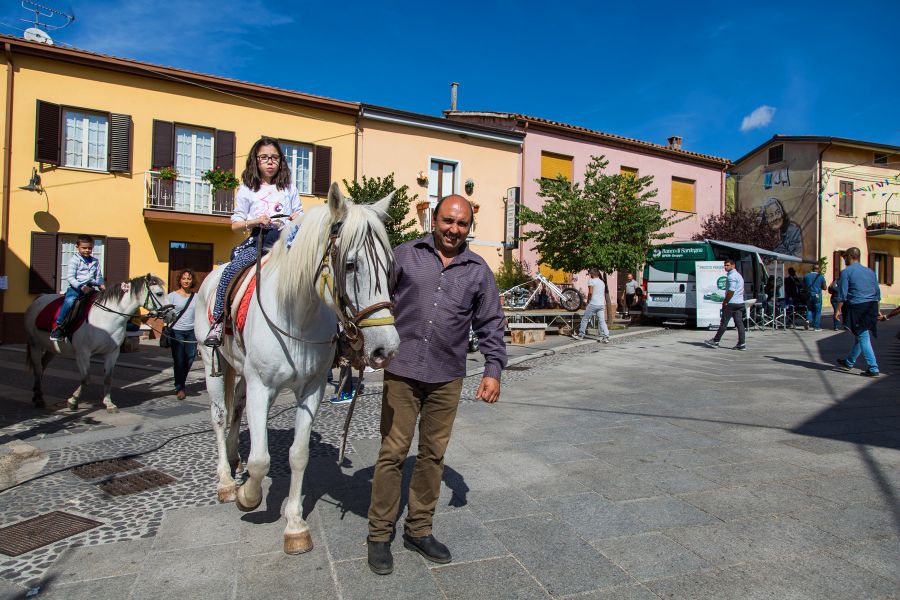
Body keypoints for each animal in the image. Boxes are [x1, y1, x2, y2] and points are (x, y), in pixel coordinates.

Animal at [23, 274, 174, 410]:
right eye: (159, 293)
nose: (172, 314)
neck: (106, 317)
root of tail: (40, 298)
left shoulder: (112, 352)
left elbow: (108, 378)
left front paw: (108, 403)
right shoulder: (83, 353)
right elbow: (86, 378)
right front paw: (73, 401)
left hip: (52, 348)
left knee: (42, 366)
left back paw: (37, 393)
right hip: (35, 345)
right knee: (38, 368)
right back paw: (39, 398)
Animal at [199, 183, 400, 552]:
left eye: (390, 268)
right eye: (351, 265)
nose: (386, 348)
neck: (297, 315)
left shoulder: (312, 389)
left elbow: (299, 454)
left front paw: (294, 524)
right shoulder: (262, 387)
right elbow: (261, 459)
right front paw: (248, 497)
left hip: (240, 372)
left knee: (235, 409)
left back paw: (234, 461)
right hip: (211, 365)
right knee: (220, 416)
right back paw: (225, 481)